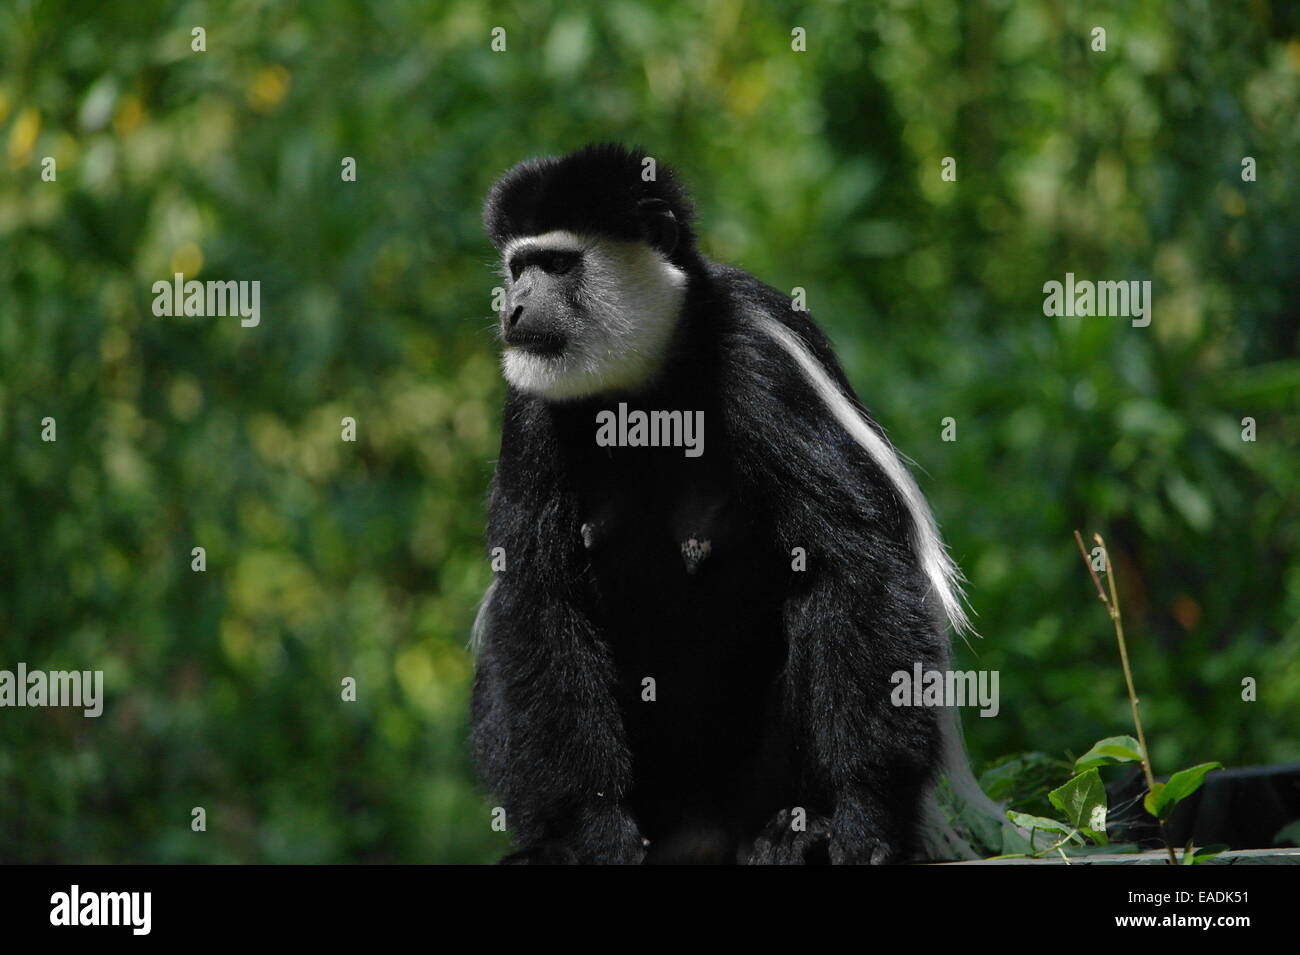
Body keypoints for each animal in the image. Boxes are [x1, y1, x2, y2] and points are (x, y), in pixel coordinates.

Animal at [473, 141, 998, 867]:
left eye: (557, 264)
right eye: (518, 266)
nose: (514, 309)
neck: (647, 390)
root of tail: (701, 834)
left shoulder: (761, 355)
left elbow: (858, 558)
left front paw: (864, 821)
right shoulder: (531, 407)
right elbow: (536, 595)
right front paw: (593, 834)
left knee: (824, 597)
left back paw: (796, 830)